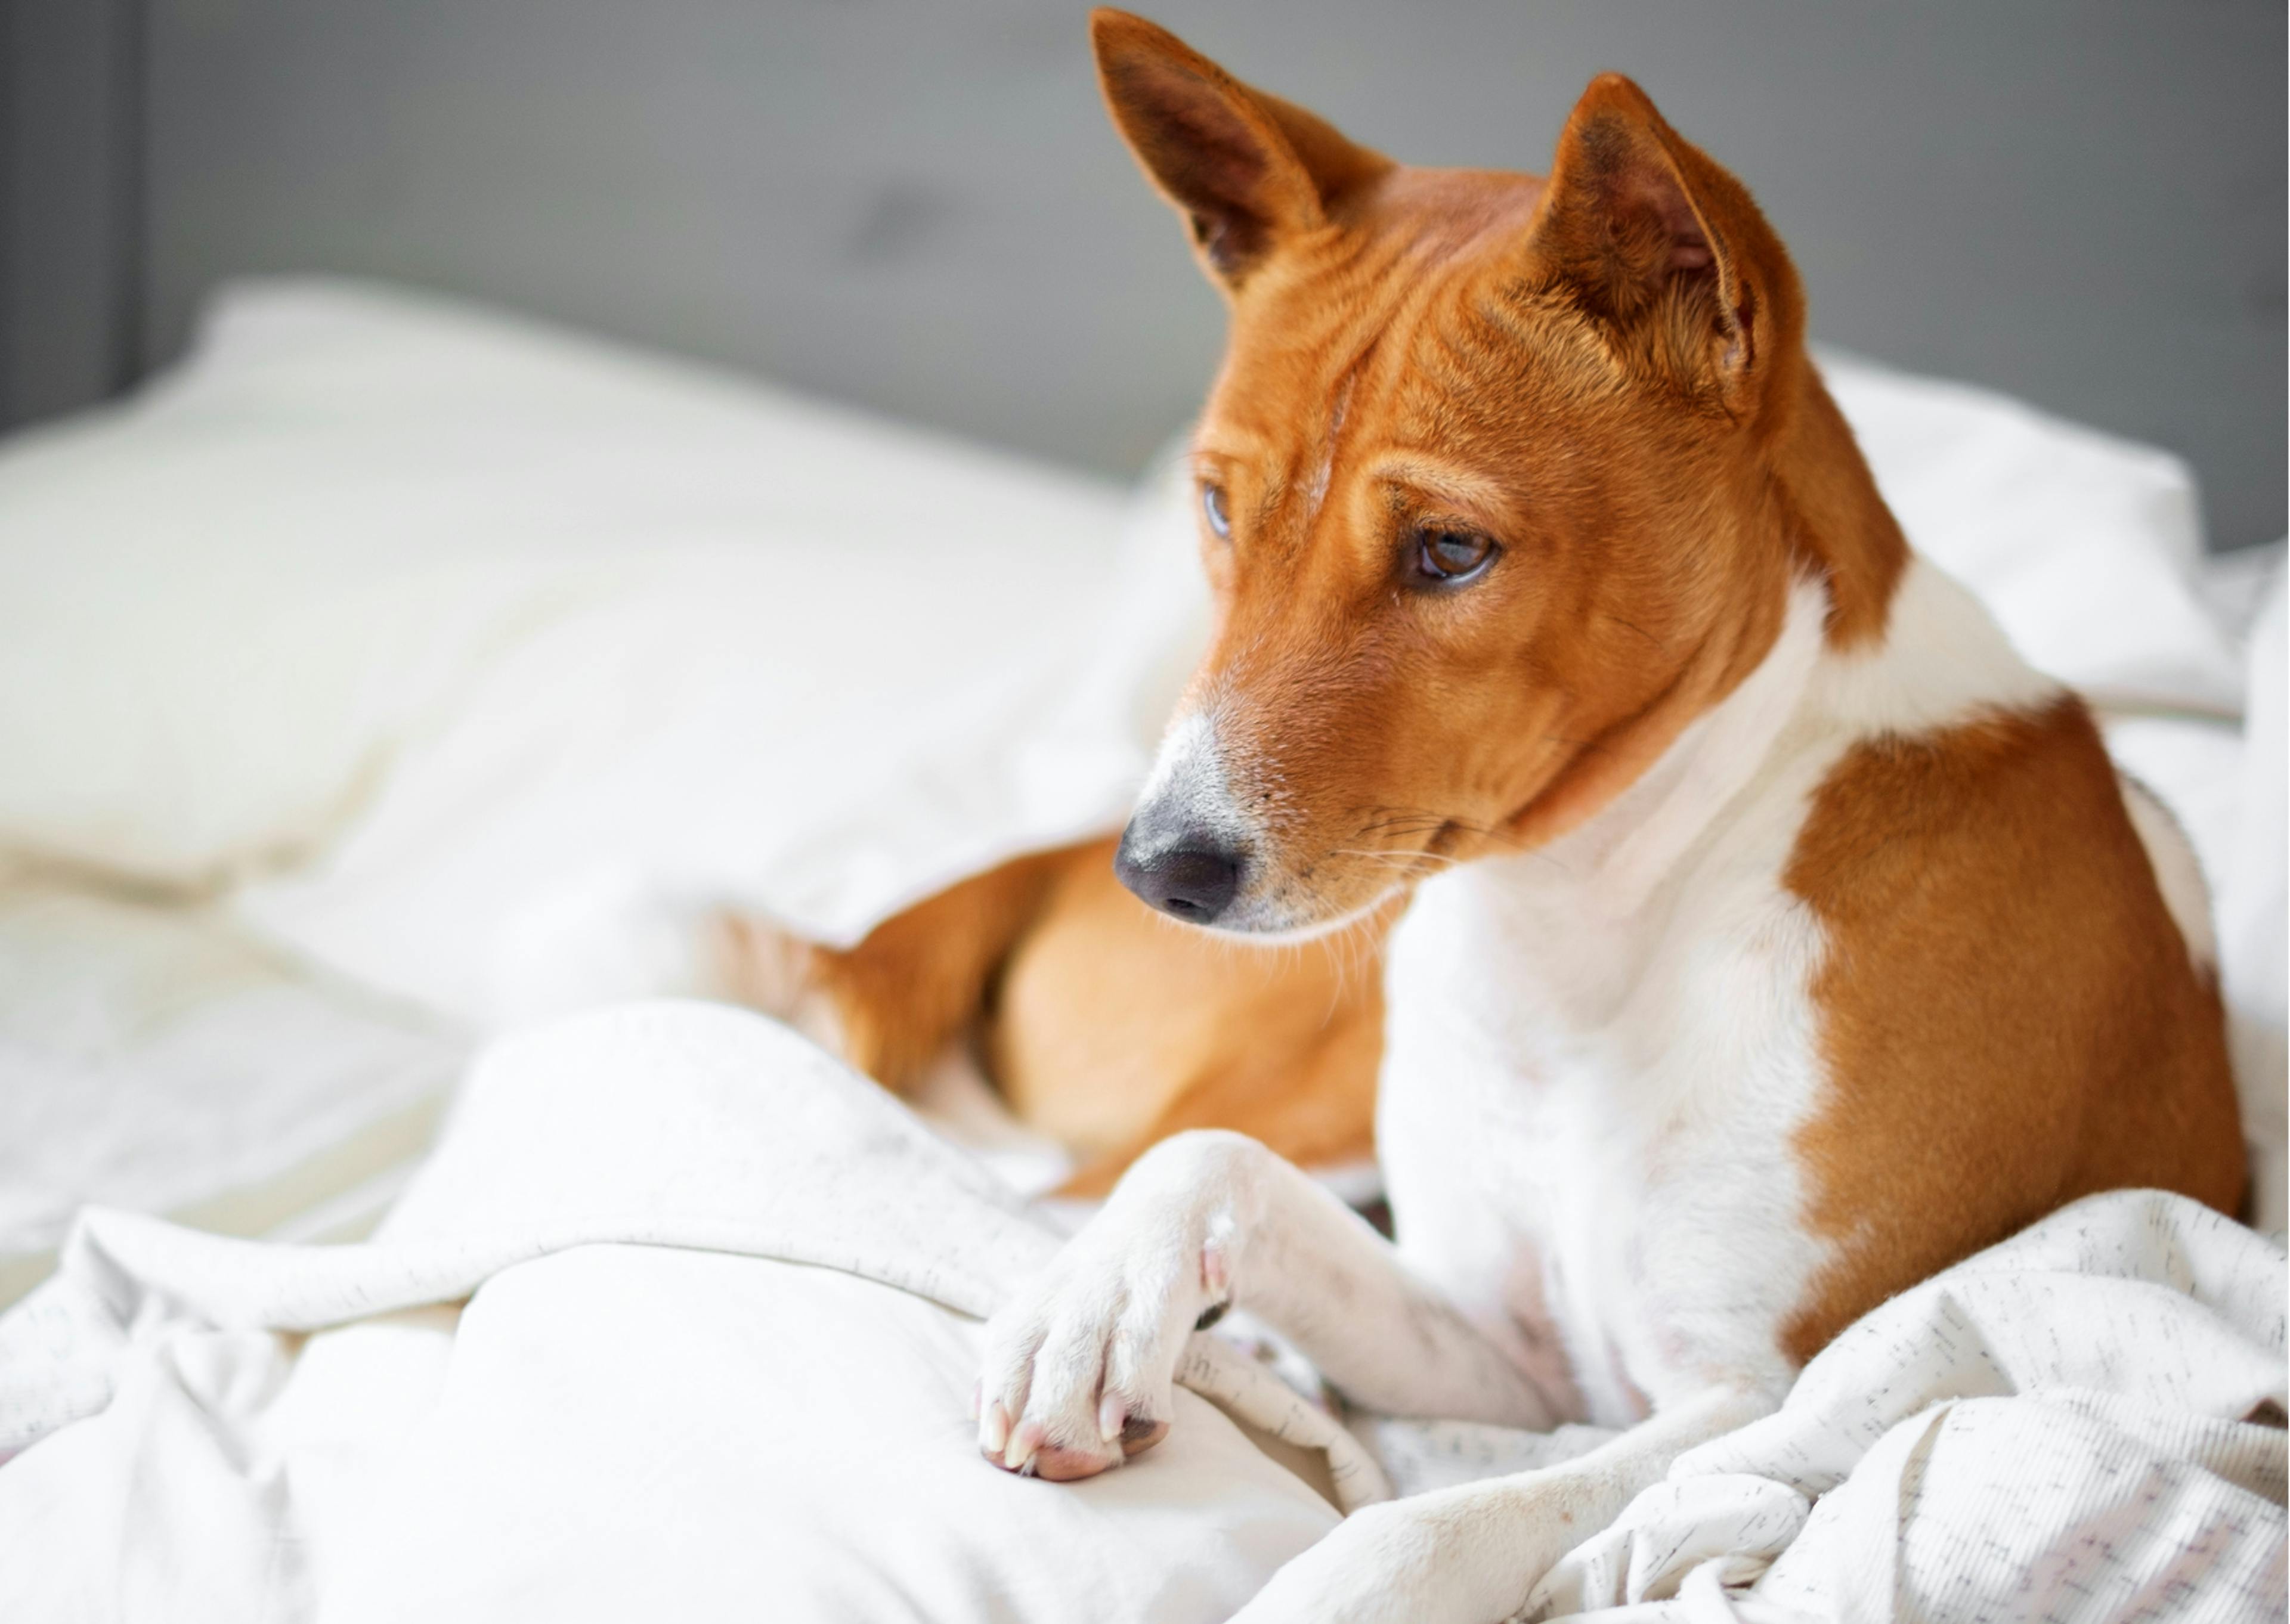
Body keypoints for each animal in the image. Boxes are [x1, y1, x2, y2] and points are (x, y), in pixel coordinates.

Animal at [737, 16, 2253, 1622]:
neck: (1594, 925)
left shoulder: (1747, 1402)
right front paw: (1092, 1307)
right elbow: (1210, 1166)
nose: (1161, 868)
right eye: (1216, 509)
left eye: (1450, 552)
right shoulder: (1504, 1349)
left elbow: (1434, 1525)